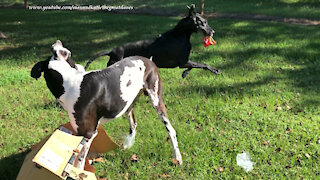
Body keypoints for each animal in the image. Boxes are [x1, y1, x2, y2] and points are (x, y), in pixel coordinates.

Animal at [85, 4, 220, 78]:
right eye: (204, 22)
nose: (212, 32)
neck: (180, 35)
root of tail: (112, 51)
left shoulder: (184, 62)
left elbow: (195, 66)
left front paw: (185, 73)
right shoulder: (183, 62)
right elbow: (203, 64)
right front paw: (215, 70)